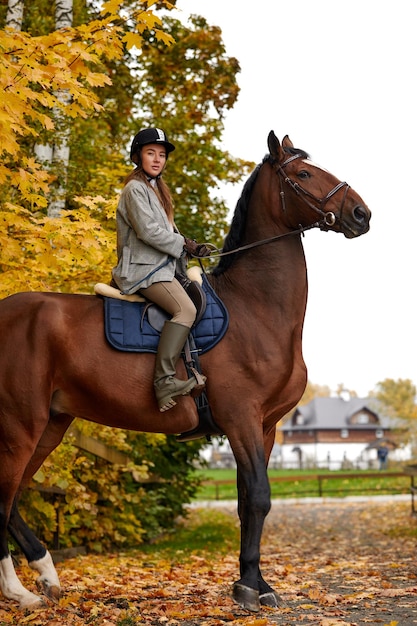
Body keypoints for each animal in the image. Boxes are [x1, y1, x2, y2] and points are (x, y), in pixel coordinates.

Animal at [0, 130, 370, 608]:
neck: (255, 308)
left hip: (50, 424)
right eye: (304, 174)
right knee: (2, 497)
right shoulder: (241, 419)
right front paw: (250, 589)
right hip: (20, 424)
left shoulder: (265, 427)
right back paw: (18, 591)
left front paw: (254, 582)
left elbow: (247, 500)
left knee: (13, 499)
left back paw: (45, 574)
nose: (361, 213)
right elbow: (260, 498)